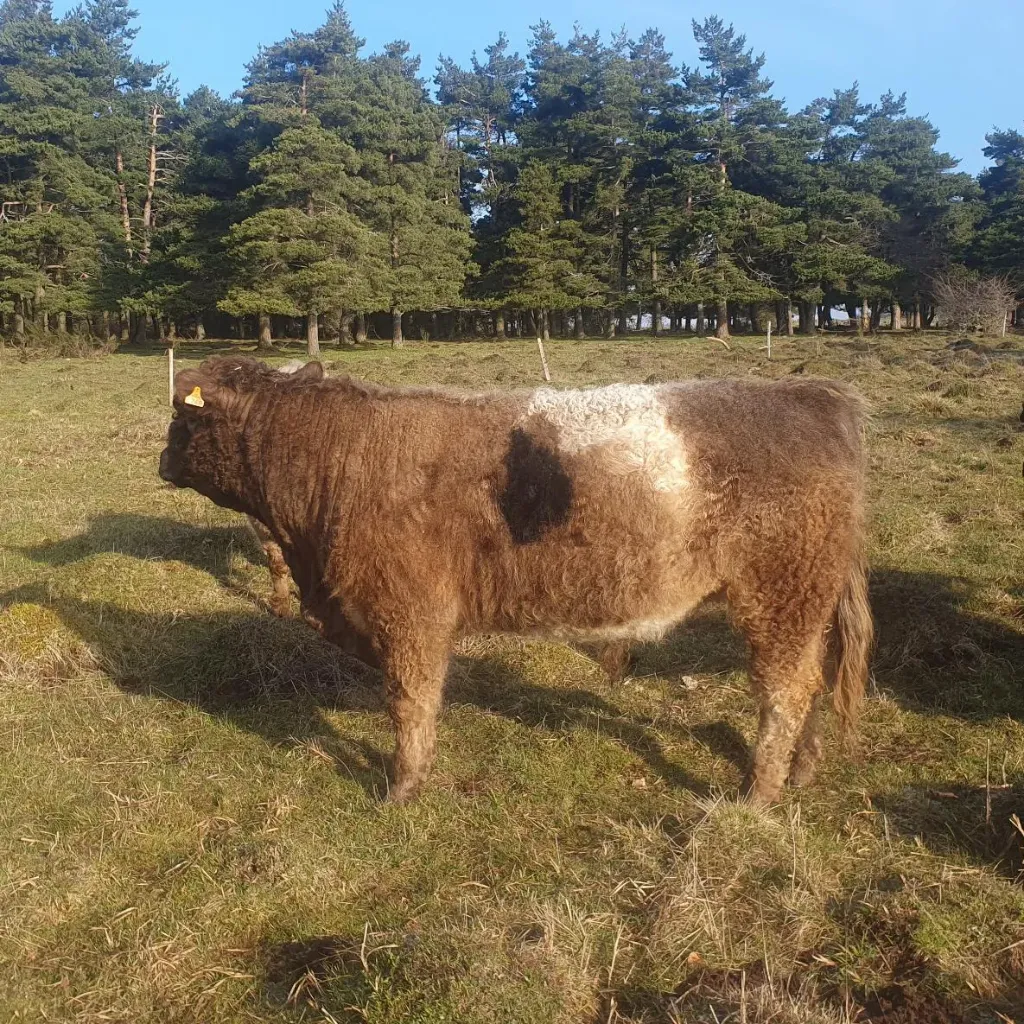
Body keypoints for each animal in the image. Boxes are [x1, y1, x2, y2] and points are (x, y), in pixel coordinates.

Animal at [159, 357, 873, 806]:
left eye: (183, 417)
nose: (161, 460)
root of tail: (815, 397)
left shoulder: (410, 614)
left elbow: (410, 703)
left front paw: (403, 788)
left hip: (780, 593)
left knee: (786, 691)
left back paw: (756, 797)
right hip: (803, 602)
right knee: (811, 682)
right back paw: (800, 772)